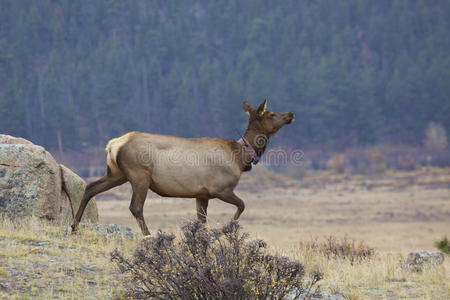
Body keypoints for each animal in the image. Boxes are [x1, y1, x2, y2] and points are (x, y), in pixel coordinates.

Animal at [71, 99, 294, 236]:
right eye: (270, 113)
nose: (290, 114)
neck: (240, 158)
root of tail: (113, 145)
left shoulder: (202, 194)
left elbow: (201, 220)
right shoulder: (221, 188)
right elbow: (242, 206)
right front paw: (226, 229)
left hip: (117, 174)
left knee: (90, 187)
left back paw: (73, 227)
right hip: (139, 175)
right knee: (135, 207)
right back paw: (148, 235)